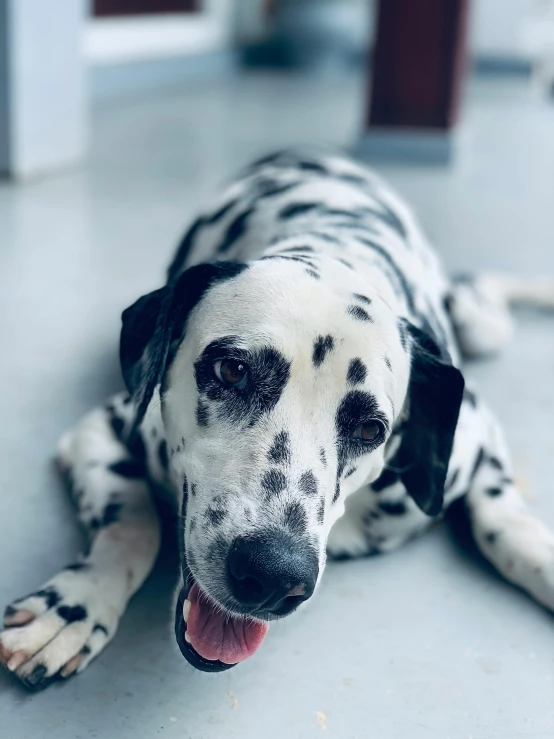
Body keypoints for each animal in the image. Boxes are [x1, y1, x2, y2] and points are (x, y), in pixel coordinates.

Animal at [1, 147, 552, 692]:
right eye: (232, 370)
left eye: (370, 429)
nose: (271, 574)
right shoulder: (101, 427)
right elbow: (133, 522)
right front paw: (75, 605)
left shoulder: (476, 436)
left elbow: (504, 519)